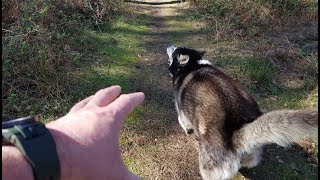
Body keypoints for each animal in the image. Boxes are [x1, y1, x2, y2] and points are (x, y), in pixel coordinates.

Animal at [166, 45, 316, 180]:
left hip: (209, 165)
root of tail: (238, 133)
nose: (169, 46)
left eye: (174, 51)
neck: (193, 65)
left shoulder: (181, 111)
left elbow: (183, 121)